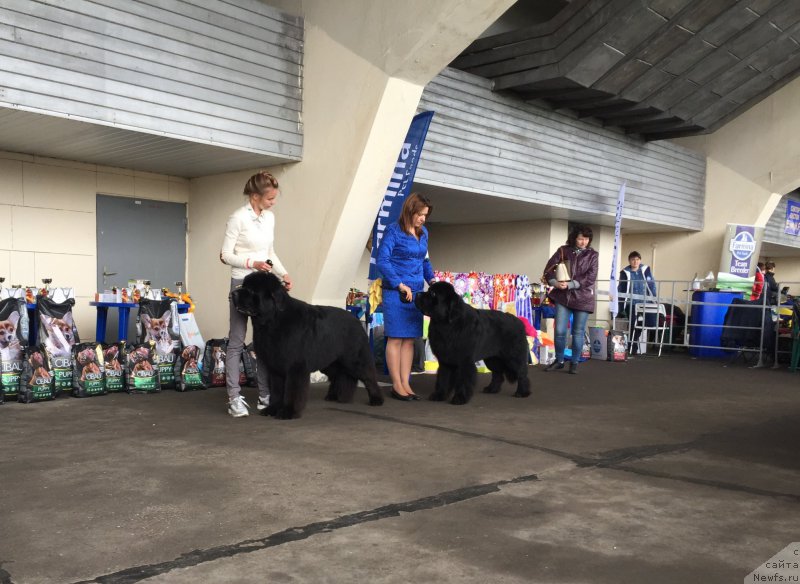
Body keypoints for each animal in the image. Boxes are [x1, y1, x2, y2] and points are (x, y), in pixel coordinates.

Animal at [228, 272, 384, 418]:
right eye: (243, 286)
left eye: (251, 290)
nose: (233, 293)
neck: (273, 320)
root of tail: (357, 320)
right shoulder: (275, 366)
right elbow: (277, 391)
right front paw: (272, 409)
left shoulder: (295, 366)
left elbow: (292, 391)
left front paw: (288, 412)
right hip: (330, 361)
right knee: (339, 375)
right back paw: (334, 396)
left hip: (354, 359)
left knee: (368, 376)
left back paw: (376, 399)